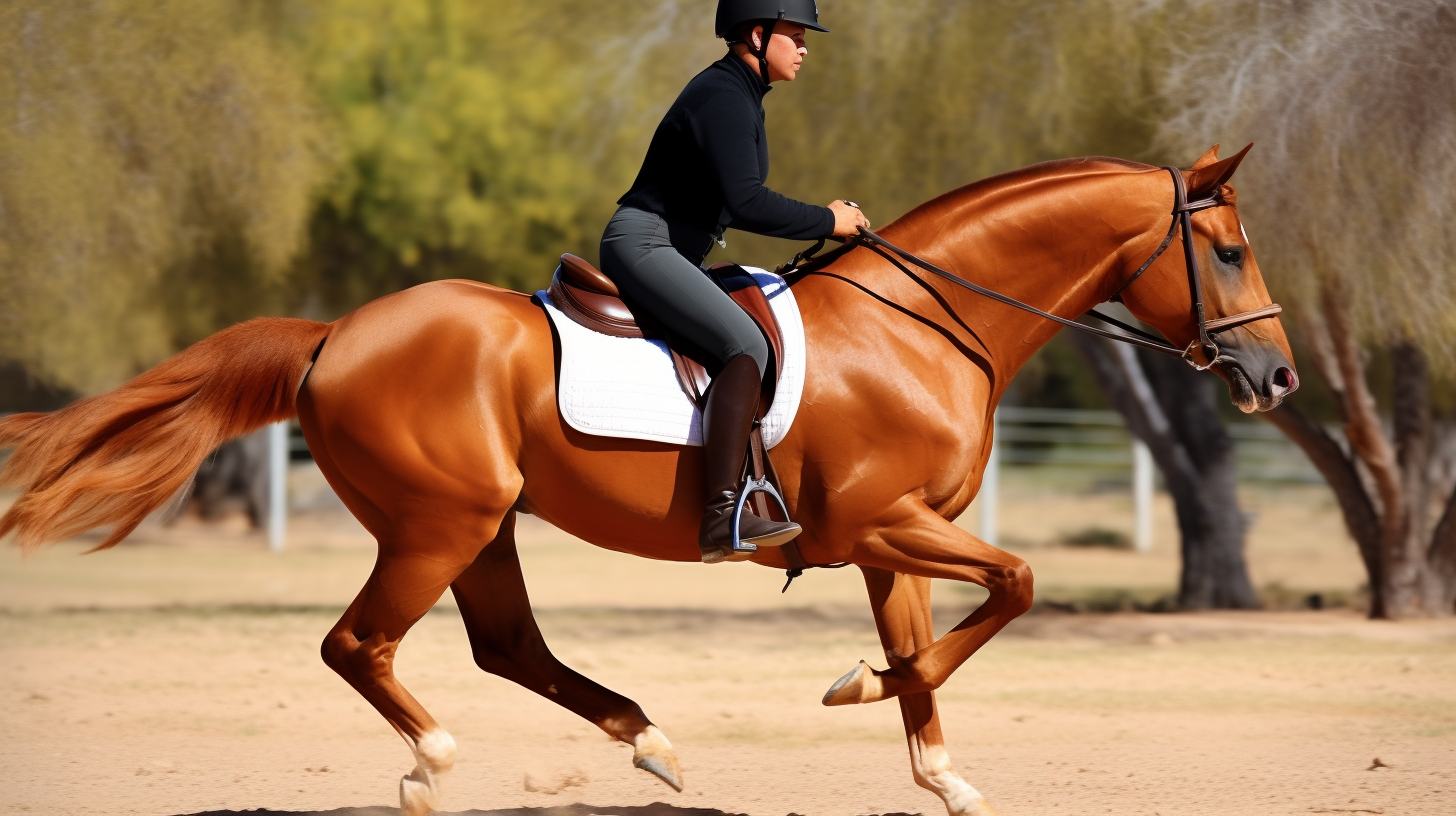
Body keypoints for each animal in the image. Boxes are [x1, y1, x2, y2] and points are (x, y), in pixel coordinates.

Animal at [0, 146, 1298, 816]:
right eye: (1230, 250)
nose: (1277, 376)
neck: (925, 324)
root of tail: (334, 333)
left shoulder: (898, 538)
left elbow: (940, 641)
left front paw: (934, 763)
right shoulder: (883, 522)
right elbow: (1015, 588)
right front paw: (859, 687)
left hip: (482, 527)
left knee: (506, 648)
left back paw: (651, 741)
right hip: (437, 524)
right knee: (358, 645)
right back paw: (432, 765)